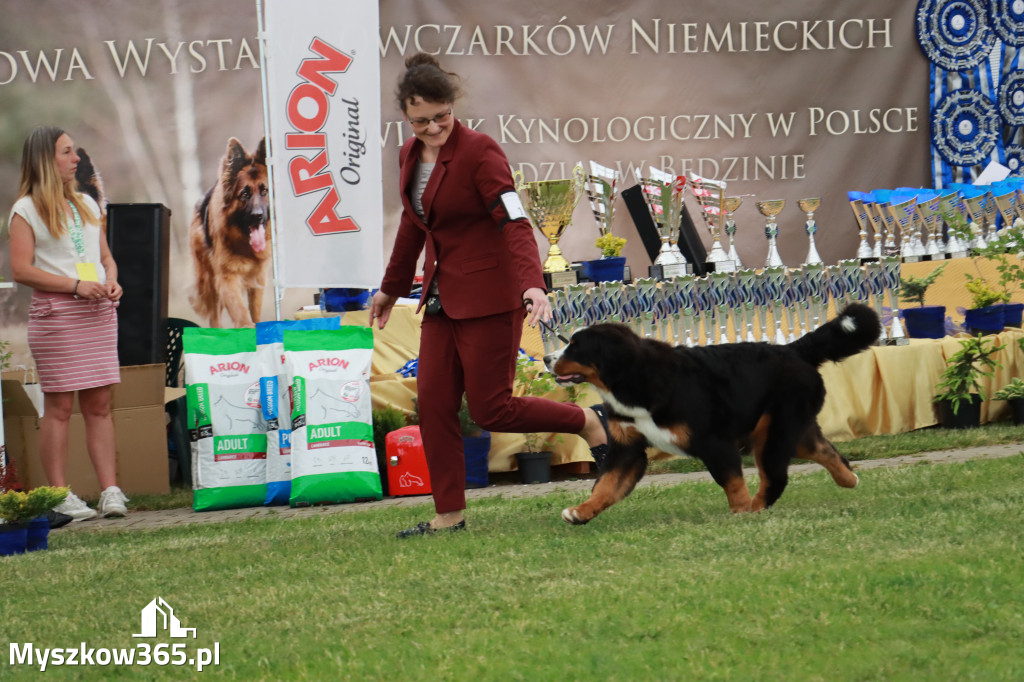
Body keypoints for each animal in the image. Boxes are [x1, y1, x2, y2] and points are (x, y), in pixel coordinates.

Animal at [544, 301, 880, 520]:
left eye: (575, 346)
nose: (547, 358)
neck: (633, 381)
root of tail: (793, 349)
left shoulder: (713, 442)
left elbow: (730, 481)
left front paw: (740, 511)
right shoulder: (627, 447)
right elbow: (605, 486)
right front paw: (581, 512)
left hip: (774, 432)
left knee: (775, 476)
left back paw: (756, 508)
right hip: (789, 431)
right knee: (825, 451)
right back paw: (849, 479)